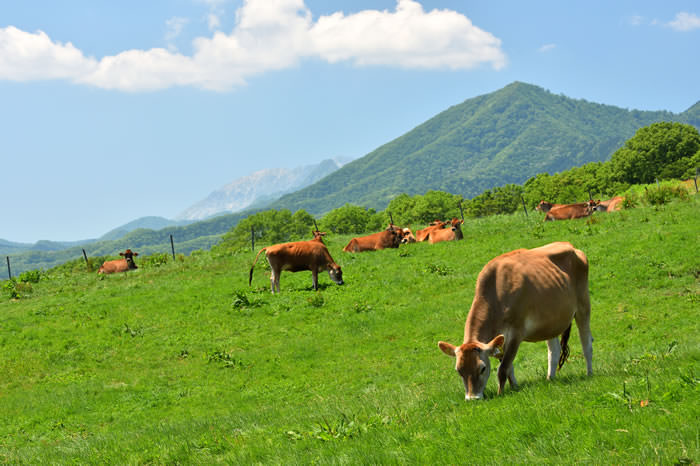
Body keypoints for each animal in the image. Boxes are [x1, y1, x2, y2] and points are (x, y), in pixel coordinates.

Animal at [438, 242, 592, 398]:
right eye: (459, 371)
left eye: (482, 368)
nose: (472, 398)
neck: (496, 295)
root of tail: (569, 245)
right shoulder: (499, 341)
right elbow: (509, 368)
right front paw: (514, 387)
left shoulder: (516, 333)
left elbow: (503, 369)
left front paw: (500, 393)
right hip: (551, 321)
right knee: (554, 350)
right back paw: (550, 378)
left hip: (583, 305)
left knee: (586, 343)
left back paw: (589, 373)